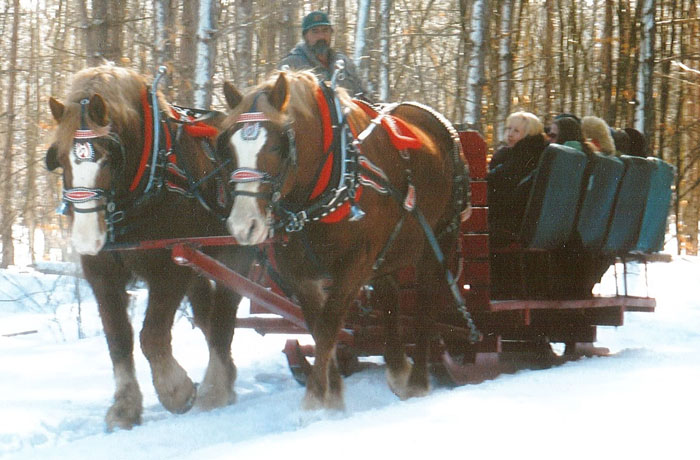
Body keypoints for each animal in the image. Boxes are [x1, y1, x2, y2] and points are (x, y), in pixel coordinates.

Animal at [44, 65, 252, 432]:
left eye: (109, 156)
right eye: (61, 158)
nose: (86, 238)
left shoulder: (169, 267)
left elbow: (151, 335)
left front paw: (176, 391)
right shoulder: (101, 272)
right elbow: (118, 338)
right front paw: (125, 407)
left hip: (233, 257)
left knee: (223, 320)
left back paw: (215, 388)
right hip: (199, 263)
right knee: (208, 316)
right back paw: (226, 378)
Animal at [219, 70, 476, 408]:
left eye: (276, 147)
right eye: (230, 148)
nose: (243, 225)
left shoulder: (355, 264)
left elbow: (330, 324)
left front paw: (315, 401)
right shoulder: (299, 273)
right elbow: (318, 329)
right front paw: (333, 397)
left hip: (438, 241)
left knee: (425, 307)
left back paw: (418, 382)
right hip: (389, 250)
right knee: (390, 297)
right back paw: (398, 370)